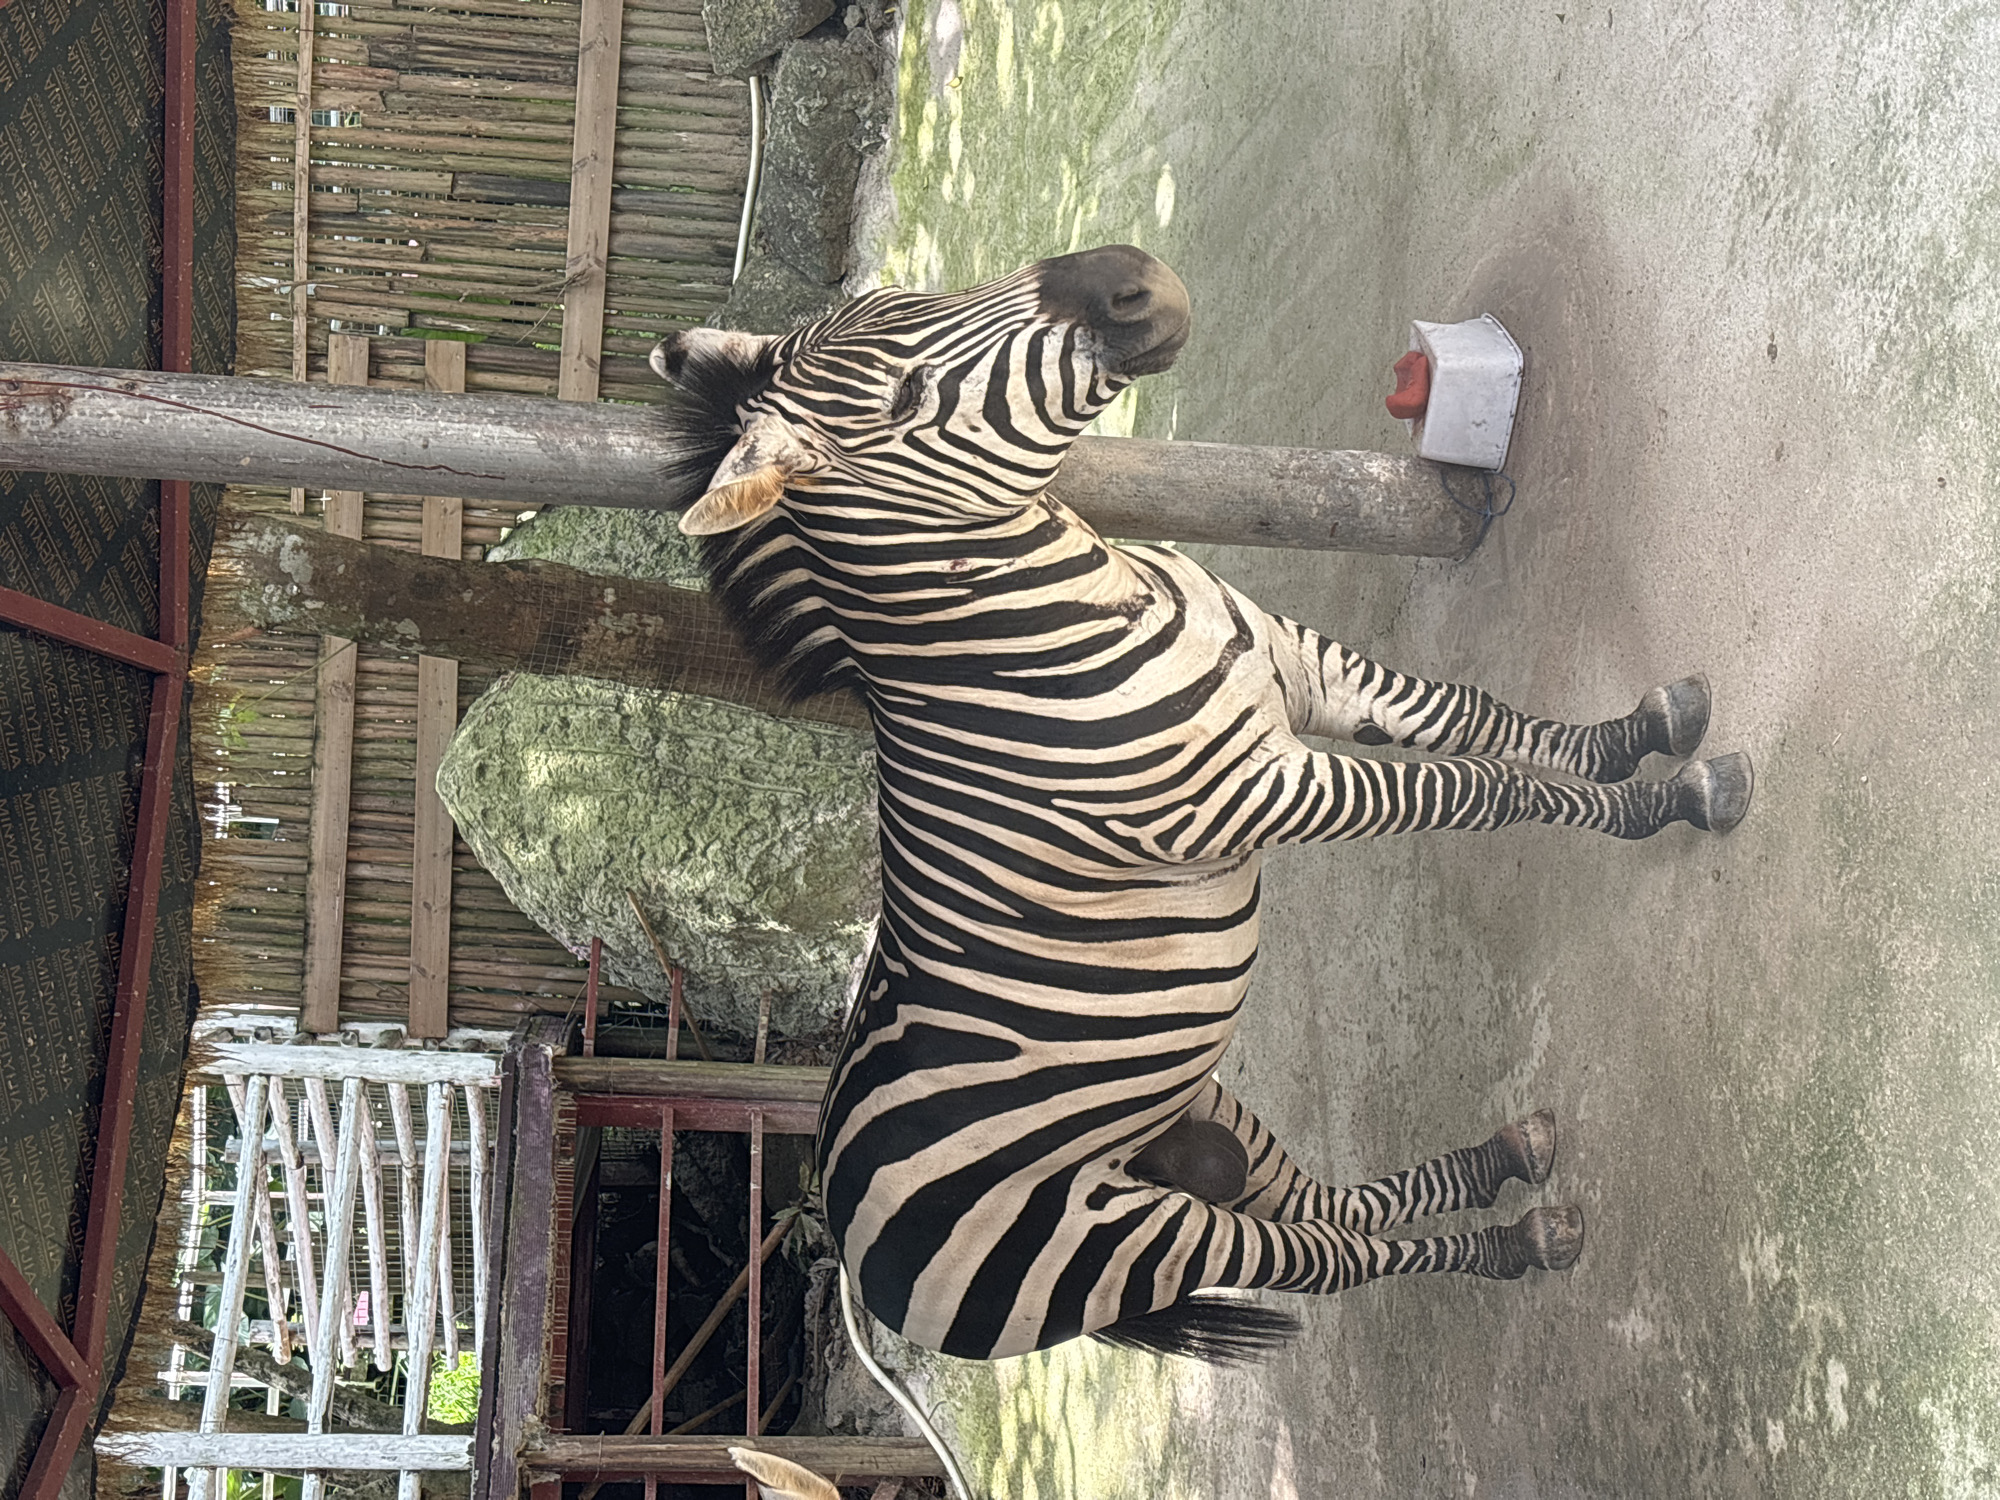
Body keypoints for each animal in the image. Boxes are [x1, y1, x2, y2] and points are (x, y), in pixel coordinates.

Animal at [645, 244, 1753, 1362]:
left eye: (908, 297)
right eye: (905, 400)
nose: (1127, 274)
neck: (1079, 599)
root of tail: (847, 1234)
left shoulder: (1301, 669)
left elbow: (1472, 716)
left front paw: (1635, 738)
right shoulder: (1260, 790)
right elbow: (1475, 784)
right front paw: (1663, 805)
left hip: (1192, 1104)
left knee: (1333, 1210)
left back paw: (1501, 1170)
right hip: (1132, 1235)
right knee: (1331, 1259)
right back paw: (1511, 1244)